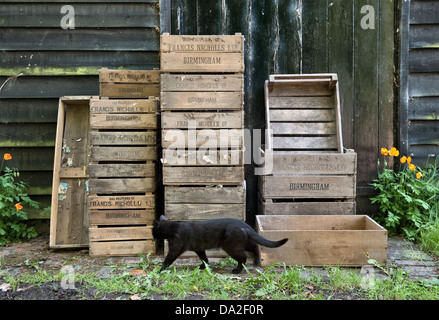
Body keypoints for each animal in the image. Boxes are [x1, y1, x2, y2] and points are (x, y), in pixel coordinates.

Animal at [154, 215, 288, 272]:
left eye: (153, 230)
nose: (153, 235)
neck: (173, 228)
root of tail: (244, 224)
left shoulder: (175, 249)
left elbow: (167, 259)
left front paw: (160, 270)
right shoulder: (199, 248)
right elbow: (204, 258)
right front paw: (203, 267)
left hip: (231, 246)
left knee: (243, 258)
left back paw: (237, 270)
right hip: (240, 243)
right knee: (255, 247)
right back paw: (256, 261)